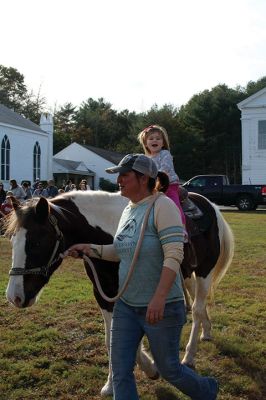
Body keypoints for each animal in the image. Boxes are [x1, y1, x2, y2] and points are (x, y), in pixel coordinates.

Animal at [5, 191, 235, 396]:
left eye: (36, 242)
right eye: (12, 240)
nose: (14, 296)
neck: (113, 233)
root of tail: (209, 205)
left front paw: (149, 367)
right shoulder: (104, 294)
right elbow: (112, 339)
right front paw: (113, 383)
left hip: (204, 272)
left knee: (196, 309)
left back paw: (189, 355)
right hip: (187, 275)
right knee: (199, 304)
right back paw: (207, 331)